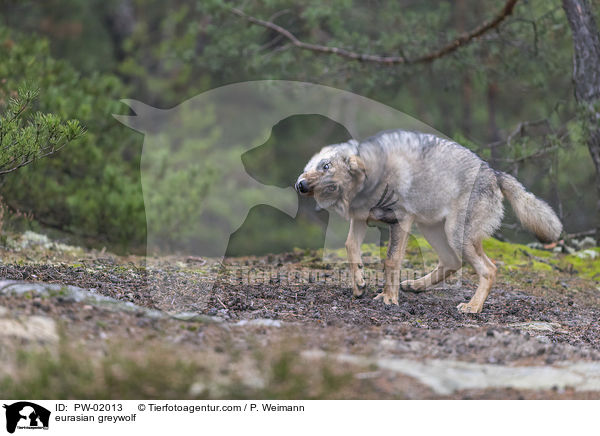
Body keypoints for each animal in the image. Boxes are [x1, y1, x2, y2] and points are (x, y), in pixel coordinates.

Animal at [296, 129, 564, 314]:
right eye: (311, 167)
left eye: (326, 168)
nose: (300, 185)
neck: (373, 178)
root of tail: (495, 174)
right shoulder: (361, 220)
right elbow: (351, 248)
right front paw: (359, 284)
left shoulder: (401, 221)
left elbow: (391, 261)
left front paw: (388, 298)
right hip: (432, 231)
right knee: (452, 262)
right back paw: (416, 286)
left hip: (456, 235)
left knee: (489, 269)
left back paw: (472, 307)